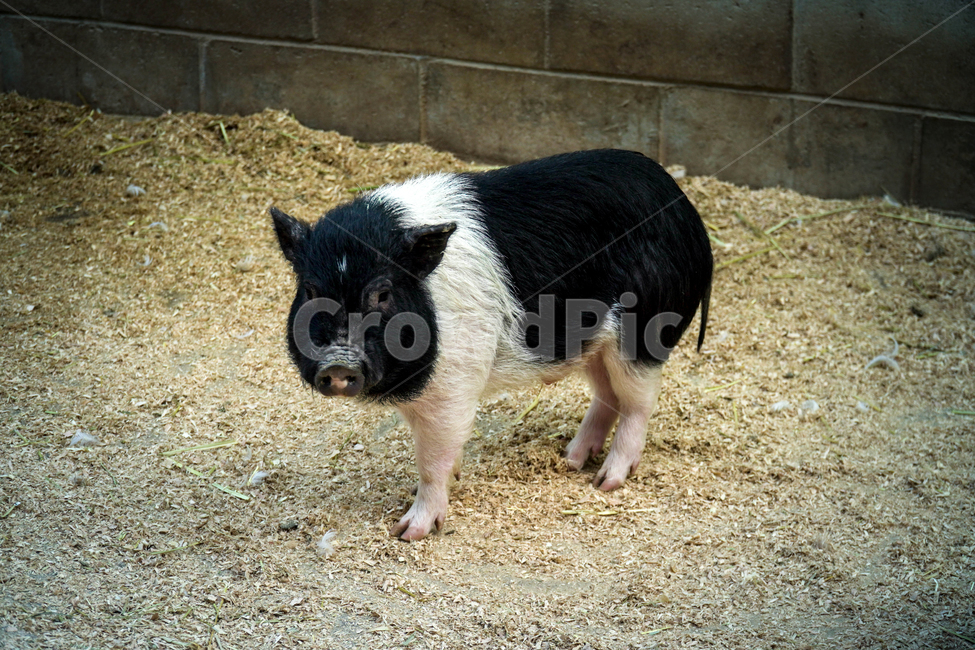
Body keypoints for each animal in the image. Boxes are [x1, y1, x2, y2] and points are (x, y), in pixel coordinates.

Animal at [270, 149, 713, 541]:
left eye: (382, 294)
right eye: (311, 290)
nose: (337, 362)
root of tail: (686, 211)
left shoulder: (454, 384)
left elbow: (432, 458)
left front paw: (408, 531)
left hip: (642, 331)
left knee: (639, 402)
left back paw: (606, 481)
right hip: (591, 341)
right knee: (607, 395)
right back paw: (571, 460)